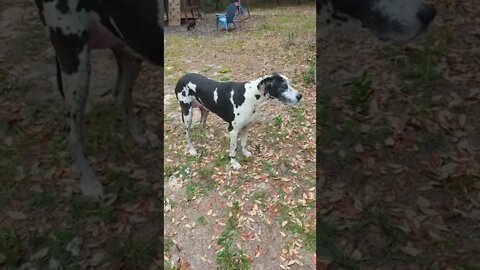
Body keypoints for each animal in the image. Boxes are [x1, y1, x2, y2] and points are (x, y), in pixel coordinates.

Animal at [33, 0, 165, 199]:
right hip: (76, 65)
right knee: (74, 134)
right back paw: (88, 181)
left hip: (131, 49)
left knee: (123, 97)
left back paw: (140, 135)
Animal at [174, 71, 302, 169]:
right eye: (283, 87)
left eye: (289, 84)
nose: (300, 96)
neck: (251, 96)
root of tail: (182, 77)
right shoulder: (233, 130)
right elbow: (234, 149)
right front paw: (234, 163)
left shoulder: (246, 126)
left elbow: (244, 143)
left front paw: (245, 153)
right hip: (187, 114)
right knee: (186, 134)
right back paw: (192, 150)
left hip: (205, 109)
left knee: (202, 122)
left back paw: (208, 135)